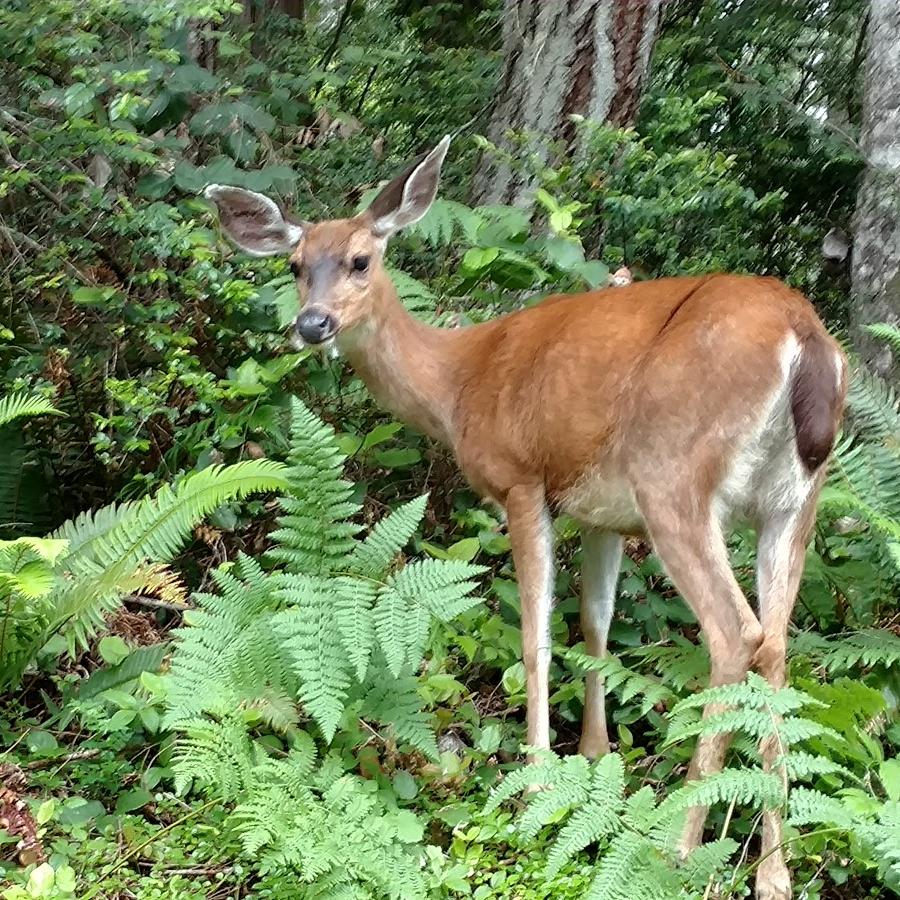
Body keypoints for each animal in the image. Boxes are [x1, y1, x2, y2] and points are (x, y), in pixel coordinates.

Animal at [206, 135, 852, 900]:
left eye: (362, 259)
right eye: (296, 265)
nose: (312, 324)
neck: (458, 382)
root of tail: (804, 335)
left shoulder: (521, 480)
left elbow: (536, 636)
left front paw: (539, 781)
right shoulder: (604, 514)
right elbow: (596, 625)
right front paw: (596, 753)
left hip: (674, 476)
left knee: (736, 634)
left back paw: (681, 850)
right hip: (793, 500)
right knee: (778, 646)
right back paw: (774, 869)